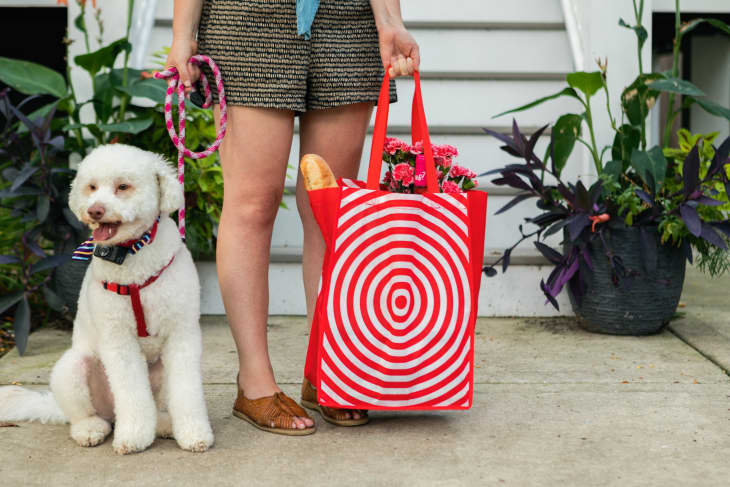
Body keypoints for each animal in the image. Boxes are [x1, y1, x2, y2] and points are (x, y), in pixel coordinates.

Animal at [0, 144, 215, 454]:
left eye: (123, 186)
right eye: (91, 187)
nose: (95, 210)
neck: (132, 255)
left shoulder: (182, 334)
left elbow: (186, 391)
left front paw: (193, 433)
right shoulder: (118, 339)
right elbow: (132, 392)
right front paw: (134, 436)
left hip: (160, 370)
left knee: (158, 405)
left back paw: (163, 423)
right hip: (72, 369)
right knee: (84, 415)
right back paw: (91, 429)